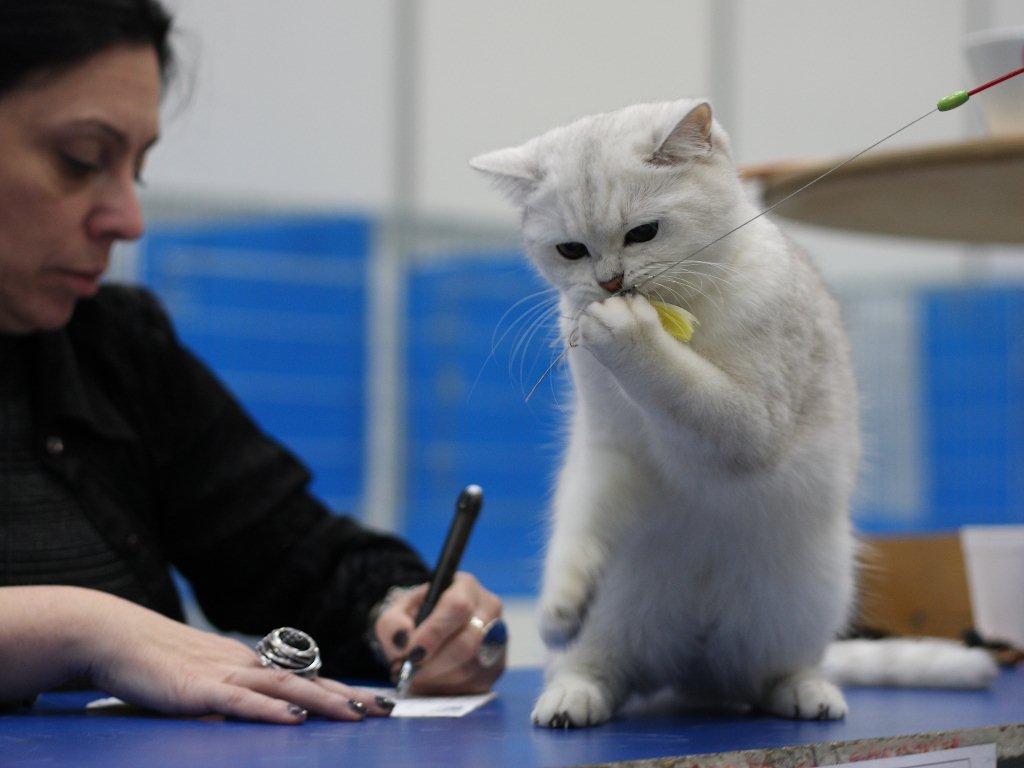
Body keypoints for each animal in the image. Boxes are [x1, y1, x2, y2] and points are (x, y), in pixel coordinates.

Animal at [470, 99, 996, 728]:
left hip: (807, 599)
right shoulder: (610, 452)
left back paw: (804, 693)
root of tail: (693, 669)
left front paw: (629, 335)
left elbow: (685, 389)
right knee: (599, 668)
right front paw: (558, 608)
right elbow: (580, 532)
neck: (684, 312)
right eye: (570, 250)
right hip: (619, 617)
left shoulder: (749, 426)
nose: (610, 283)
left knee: (774, 672)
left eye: (643, 233)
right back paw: (573, 696)